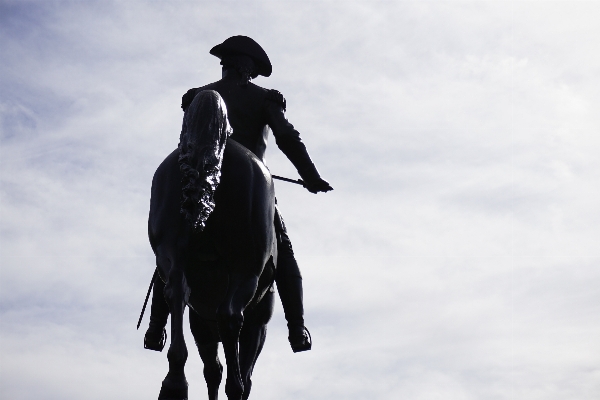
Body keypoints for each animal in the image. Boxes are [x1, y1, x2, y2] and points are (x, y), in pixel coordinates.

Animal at [148, 90, 276, 400]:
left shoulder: (201, 321)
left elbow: (212, 369)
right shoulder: (258, 321)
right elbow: (229, 368)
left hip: (170, 252)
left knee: (176, 291)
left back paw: (174, 382)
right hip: (246, 269)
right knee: (229, 317)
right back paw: (233, 389)